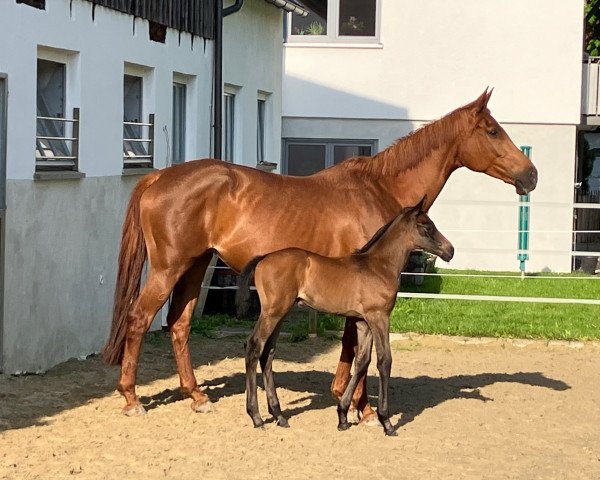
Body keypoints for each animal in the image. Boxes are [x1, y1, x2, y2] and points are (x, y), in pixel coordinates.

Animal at [237, 201, 452, 436]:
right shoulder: (379, 317)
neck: (379, 266)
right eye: (427, 226)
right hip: (272, 313)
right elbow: (384, 361)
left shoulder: (363, 322)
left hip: (280, 313)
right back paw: (256, 417)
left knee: (268, 353)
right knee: (254, 347)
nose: (450, 250)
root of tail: (263, 258)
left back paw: (279, 415)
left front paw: (342, 416)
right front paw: (386, 421)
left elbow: (362, 362)